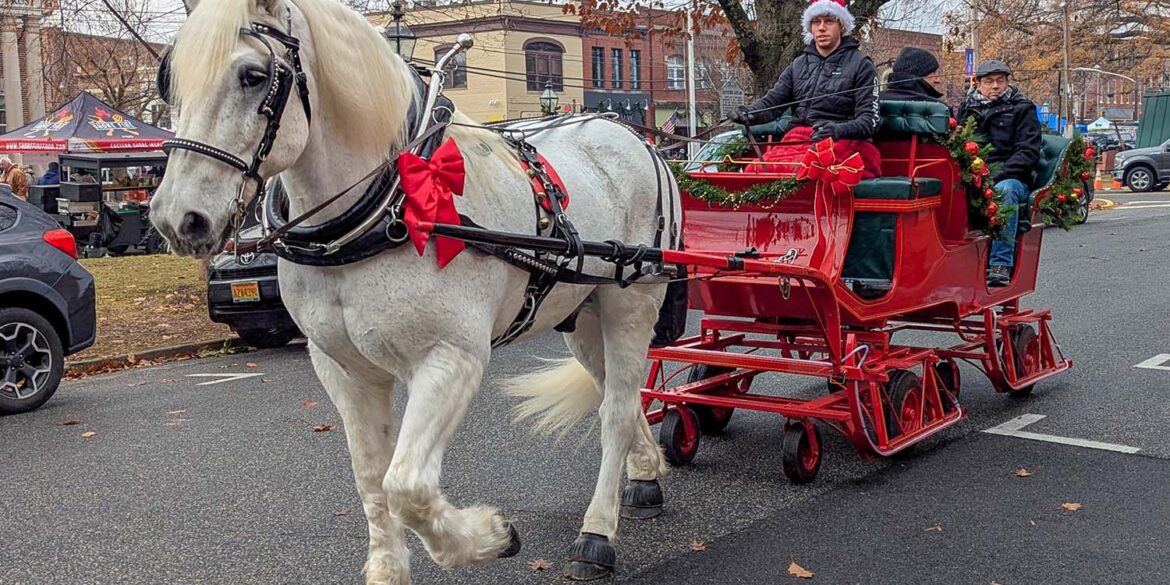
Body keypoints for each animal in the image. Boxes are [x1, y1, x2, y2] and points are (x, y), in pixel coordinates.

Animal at [148, 0, 680, 582]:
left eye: (253, 76)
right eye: (168, 81)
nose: (178, 218)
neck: (386, 208)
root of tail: (635, 139)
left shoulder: (451, 357)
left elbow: (406, 486)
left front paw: (491, 537)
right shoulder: (343, 369)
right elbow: (372, 478)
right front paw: (389, 567)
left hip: (632, 301)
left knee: (615, 411)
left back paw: (597, 532)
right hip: (583, 315)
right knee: (619, 396)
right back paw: (646, 474)